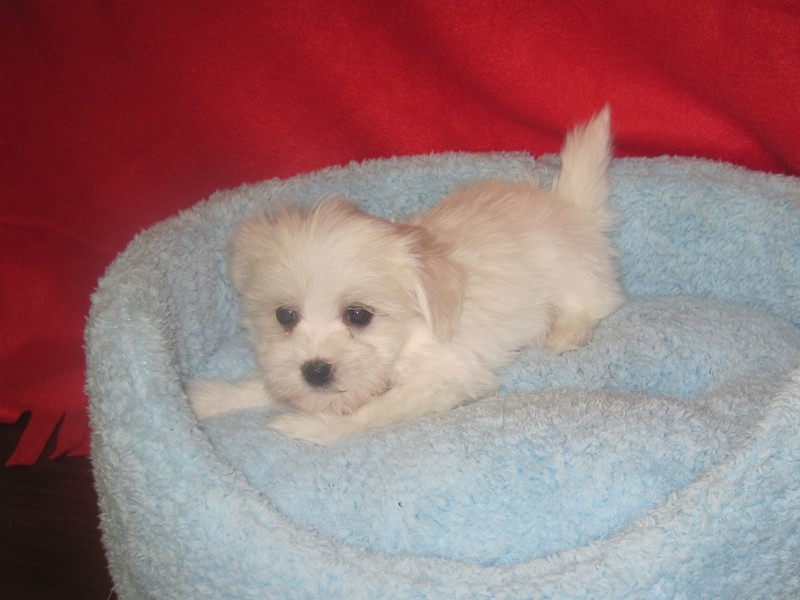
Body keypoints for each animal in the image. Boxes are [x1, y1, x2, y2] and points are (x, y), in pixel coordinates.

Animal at [188, 107, 623, 444]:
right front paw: (210, 399)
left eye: (358, 315)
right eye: (285, 315)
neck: (410, 334)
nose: (314, 371)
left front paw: (309, 427)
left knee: (594, 303)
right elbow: (268, 383)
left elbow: (371, 412)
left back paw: (565, 333)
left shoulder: (444, 377)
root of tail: (570, 204)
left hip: (570, 273)